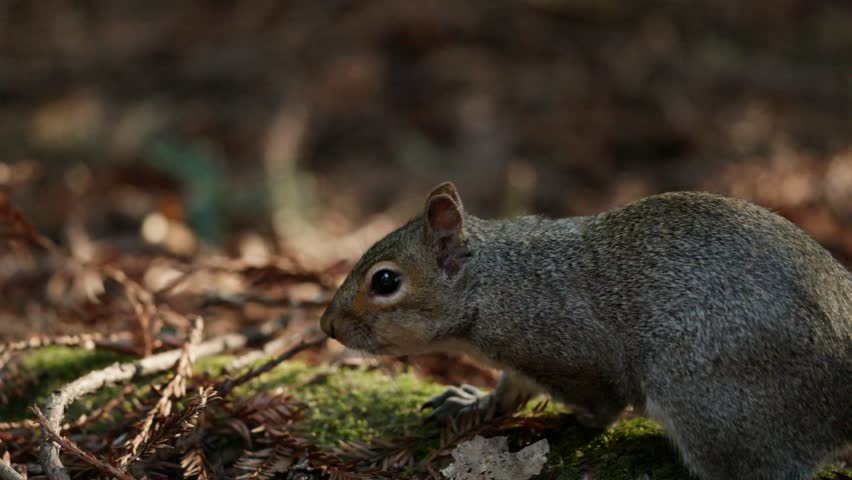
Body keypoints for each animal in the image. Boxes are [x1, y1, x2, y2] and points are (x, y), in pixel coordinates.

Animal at [320, 181, 852, 480]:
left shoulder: (568, 353)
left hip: (715, 401)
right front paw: (474, 401)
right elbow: (510, 388)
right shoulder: (520, 361)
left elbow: (601, 405)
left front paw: (561, 423)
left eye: (385, 281)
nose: (327, 325)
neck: (494, 285)